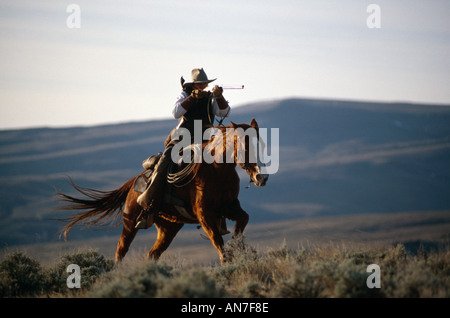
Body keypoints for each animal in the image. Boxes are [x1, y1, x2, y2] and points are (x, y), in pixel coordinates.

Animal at [56, 118, 268, 264]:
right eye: (245, 145)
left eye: (261, 144)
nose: (261, 177)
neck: (217, 170)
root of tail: (133, 183)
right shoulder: (204, 214)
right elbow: (218, 241)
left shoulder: (228, 207)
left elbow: (243, 219)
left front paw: (237, 246)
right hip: (130, 222)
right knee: (121, 250)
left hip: (168, 227)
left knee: (152, 254)